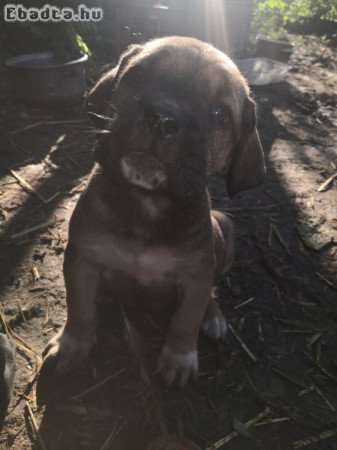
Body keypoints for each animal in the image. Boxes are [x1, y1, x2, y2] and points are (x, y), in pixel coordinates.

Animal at [42, 36, 264, 386]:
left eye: (220, 115)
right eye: (137, 76)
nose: (162, 118)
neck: (147, 203)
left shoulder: (195, 275)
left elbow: (186, 318)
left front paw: (179, 358)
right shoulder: (82, 258)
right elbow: (79, 306)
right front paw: (72, 345)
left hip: (225, 233)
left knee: (210, 294)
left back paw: (214, 317)